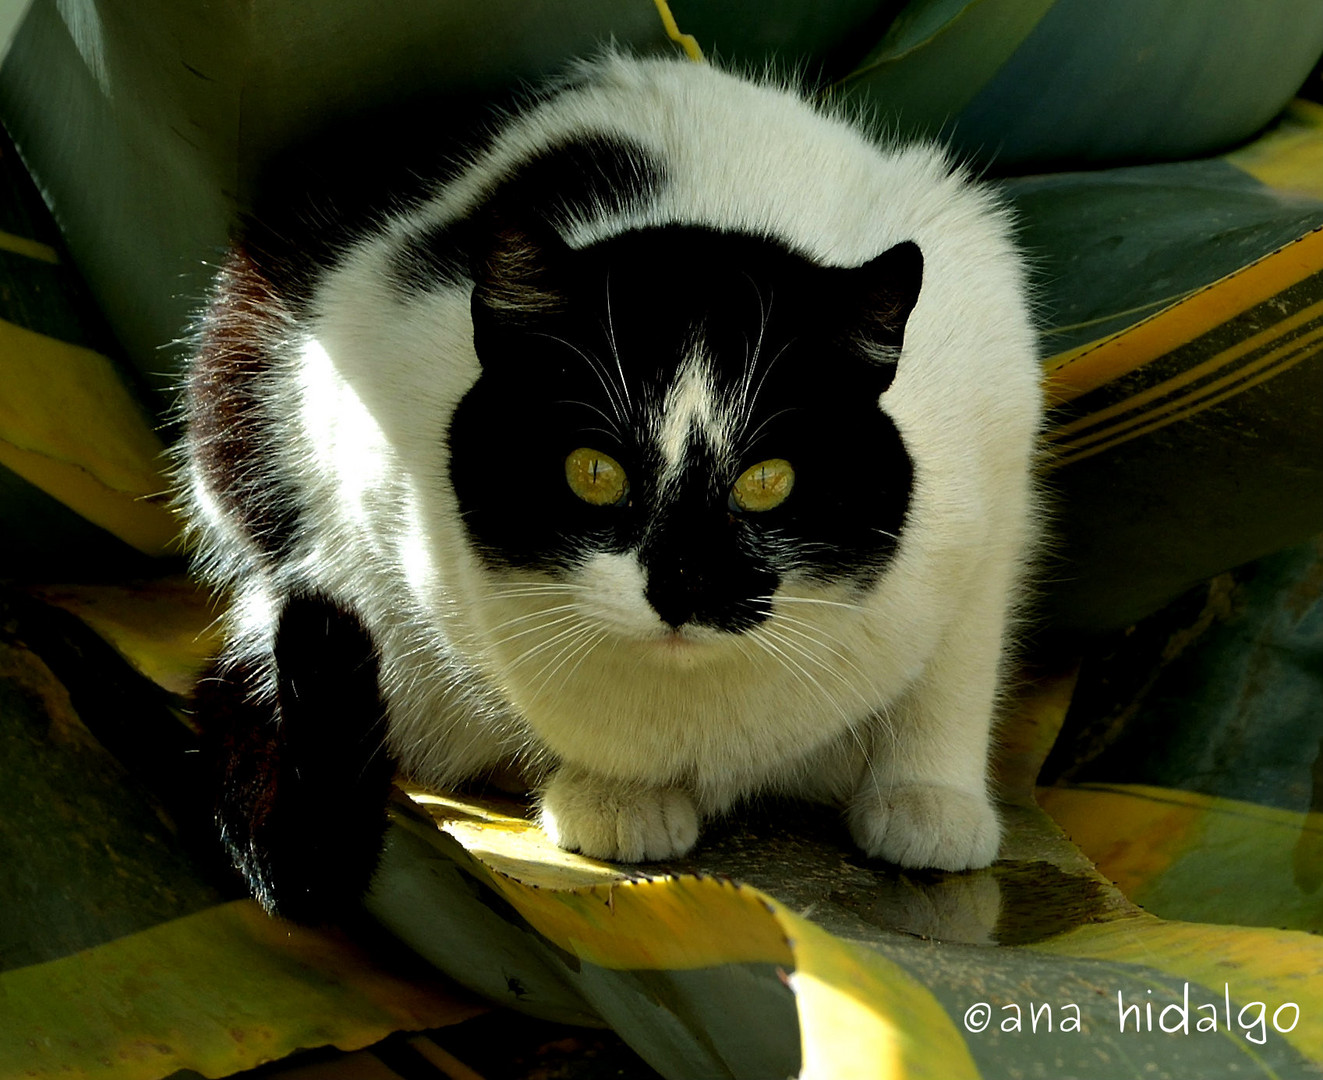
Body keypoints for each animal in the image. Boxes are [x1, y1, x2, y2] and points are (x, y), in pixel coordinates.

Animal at [178, 52, 1042, 921]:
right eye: (594, 472)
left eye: (768, 481)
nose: (682, 583)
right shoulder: (362, 435)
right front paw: (616, 795)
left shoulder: (997, 445)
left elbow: (958, 665)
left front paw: (930, 799)